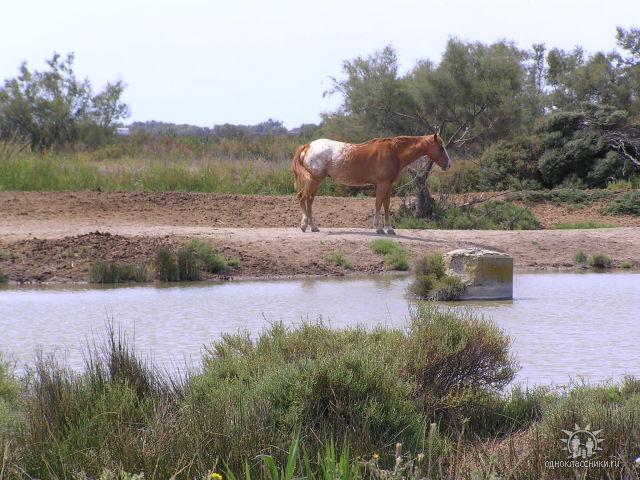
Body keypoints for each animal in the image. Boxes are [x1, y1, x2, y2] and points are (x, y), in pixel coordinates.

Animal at [290, 133, 450, 234]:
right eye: (441, 147)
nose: (448, 165)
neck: (394, 152)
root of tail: (308, 146)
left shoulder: (388, 185)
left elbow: (386, 205)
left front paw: (389, 228)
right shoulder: (382, 184)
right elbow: (378, 204)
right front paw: (378, 227)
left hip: (316, 183)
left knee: (309, 201)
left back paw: (313, 226)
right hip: (314, 181)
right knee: (302, 198)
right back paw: (304, 225)